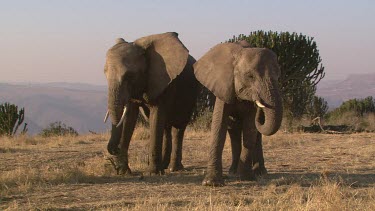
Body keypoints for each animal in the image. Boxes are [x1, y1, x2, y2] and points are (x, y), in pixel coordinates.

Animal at [104, 32, 200, 175]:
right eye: (104, 74)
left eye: (129, 76)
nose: (114, 150)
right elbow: (129, 117)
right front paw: (124, 172)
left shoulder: (166, 81)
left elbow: (157, 114)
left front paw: (152, 173)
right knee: (165, 127)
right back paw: (164, 166)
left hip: (191, 95)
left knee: (178, 127)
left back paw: (174, 168)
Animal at [195, 41, 284, 186]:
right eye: (250, 76)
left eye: (278, 76)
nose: (261, 104)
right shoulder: (224, 87)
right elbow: (219, 125)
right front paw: (211, 183)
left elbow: (250, 130)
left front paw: (246, 178)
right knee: (234, 133)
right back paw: (233, 172)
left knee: (256, 136)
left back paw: (259, 173)